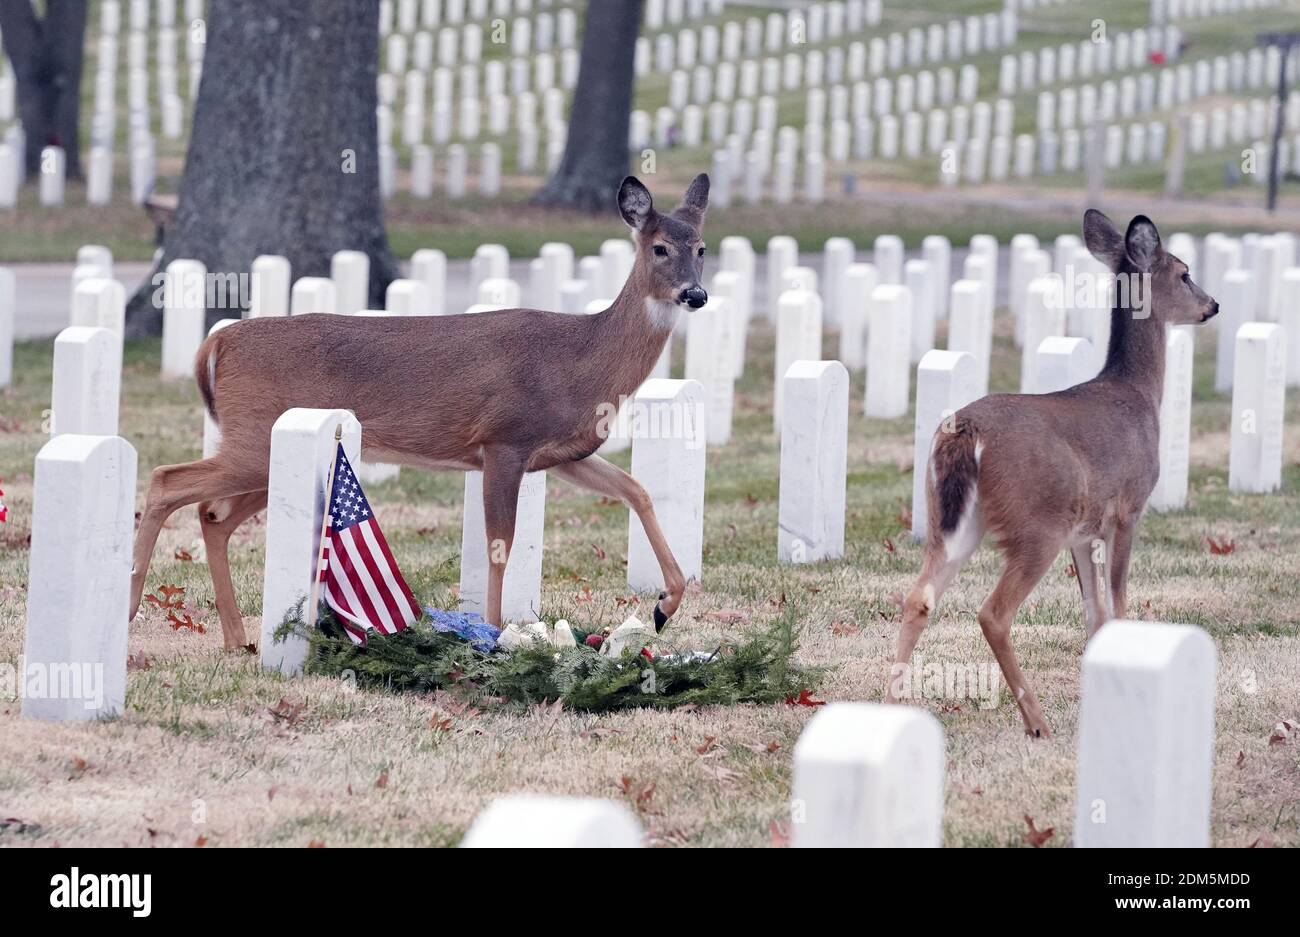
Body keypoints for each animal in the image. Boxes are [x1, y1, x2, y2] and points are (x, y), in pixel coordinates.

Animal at [128, 171, 717, 647]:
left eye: (702, 247)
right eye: (660, 248)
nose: (696, 295)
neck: (581, 360)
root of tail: (216, 343)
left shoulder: (561, 453)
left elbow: (637, 490)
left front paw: (665, 605)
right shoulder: (505, 439)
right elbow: (500, 543)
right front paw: (495, 634)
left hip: (270, 450)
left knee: (212, 515)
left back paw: (234, 637)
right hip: (253, 438)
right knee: (166, 479)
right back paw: (132, 607)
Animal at [883, 211, 1216, 738]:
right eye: (1184, 273)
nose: (1212, 305)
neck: (1138, 392)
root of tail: (966, 431)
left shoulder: (1085, 529)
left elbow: (1094, 615)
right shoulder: (1128, 506)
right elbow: (1118, 600)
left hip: (951, 519)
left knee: (918, 596)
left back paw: (886, 708)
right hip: (1037, 523)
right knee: (993, 612)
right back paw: (1036, 721)